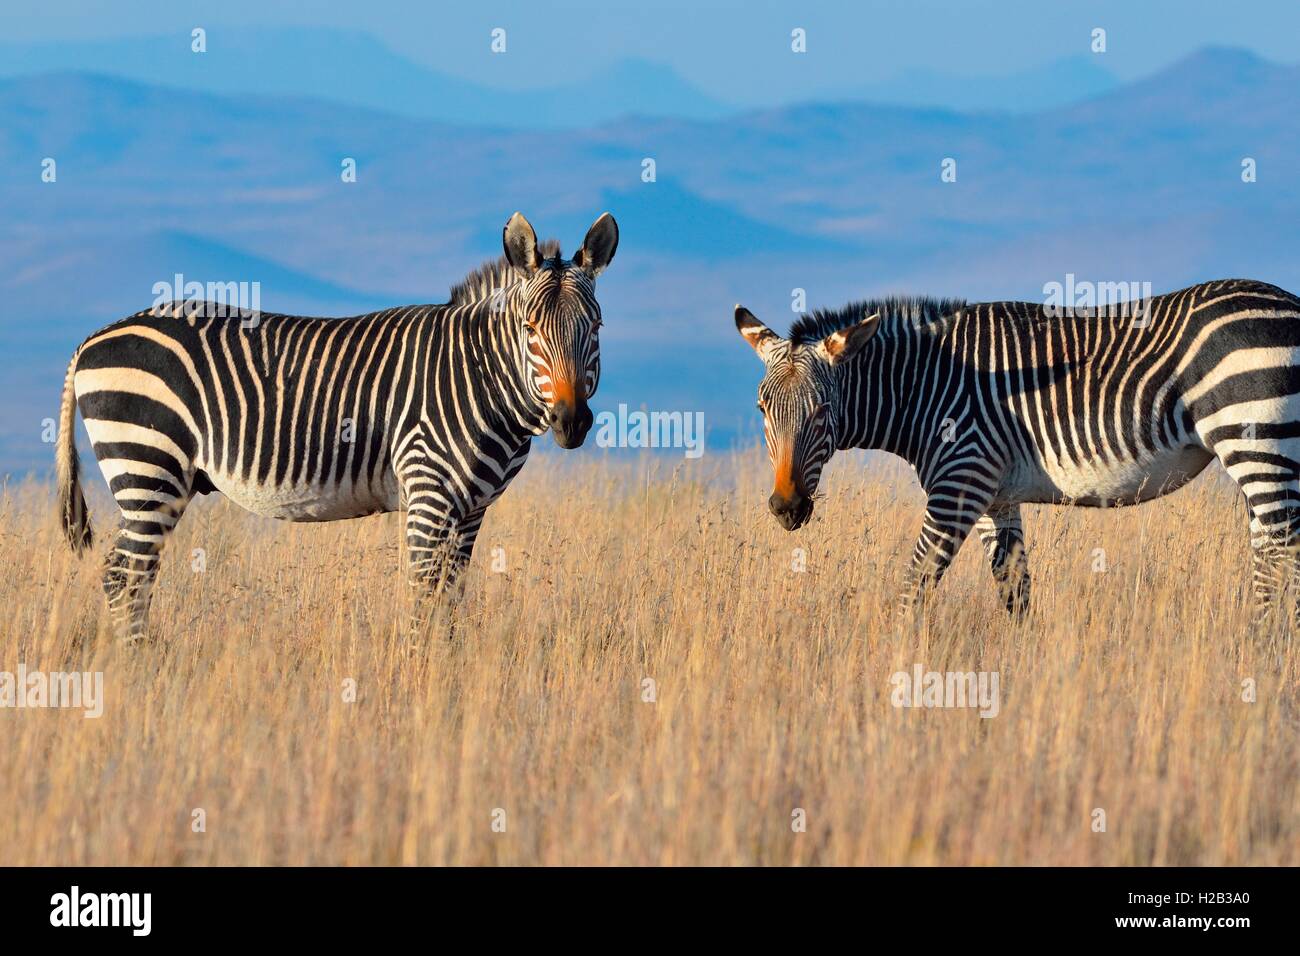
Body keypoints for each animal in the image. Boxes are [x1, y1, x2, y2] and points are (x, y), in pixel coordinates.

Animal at [54, 212, 613, 639]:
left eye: (596, 326)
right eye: (531, 328)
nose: (571, 421)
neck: (479, 375)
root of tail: (92, 338)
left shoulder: (471, 510)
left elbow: (449, 599)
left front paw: (446, 673)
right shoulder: (428, 496)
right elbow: (422, 598)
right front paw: (419, 679)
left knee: (133, 576)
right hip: (148, 466)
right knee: (122, 577)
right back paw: (140, 668)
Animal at [738, 277, 1300, 624]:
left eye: (821, 412)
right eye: (763, 408)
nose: (786, 507)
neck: (926, 387)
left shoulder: (960, 484)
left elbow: (913, 587)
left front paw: (894, 669)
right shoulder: (995, 497)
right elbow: (1014, 593)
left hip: (1259, 445)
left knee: (1280, 553)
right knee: (1270, 554)